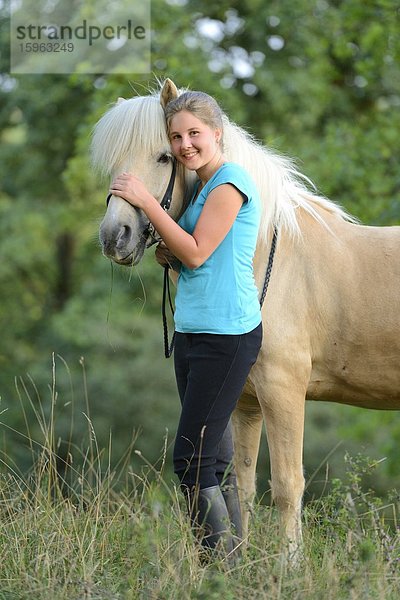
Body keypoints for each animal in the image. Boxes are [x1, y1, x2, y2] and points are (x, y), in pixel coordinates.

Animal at [90, 79, 400, 556]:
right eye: (114, 162)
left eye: (165, 155)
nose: (114, 236)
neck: (264, 255)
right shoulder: (245, 402)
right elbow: (243, 487)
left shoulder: (284, 391)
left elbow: (287, 485)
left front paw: (289, 564)